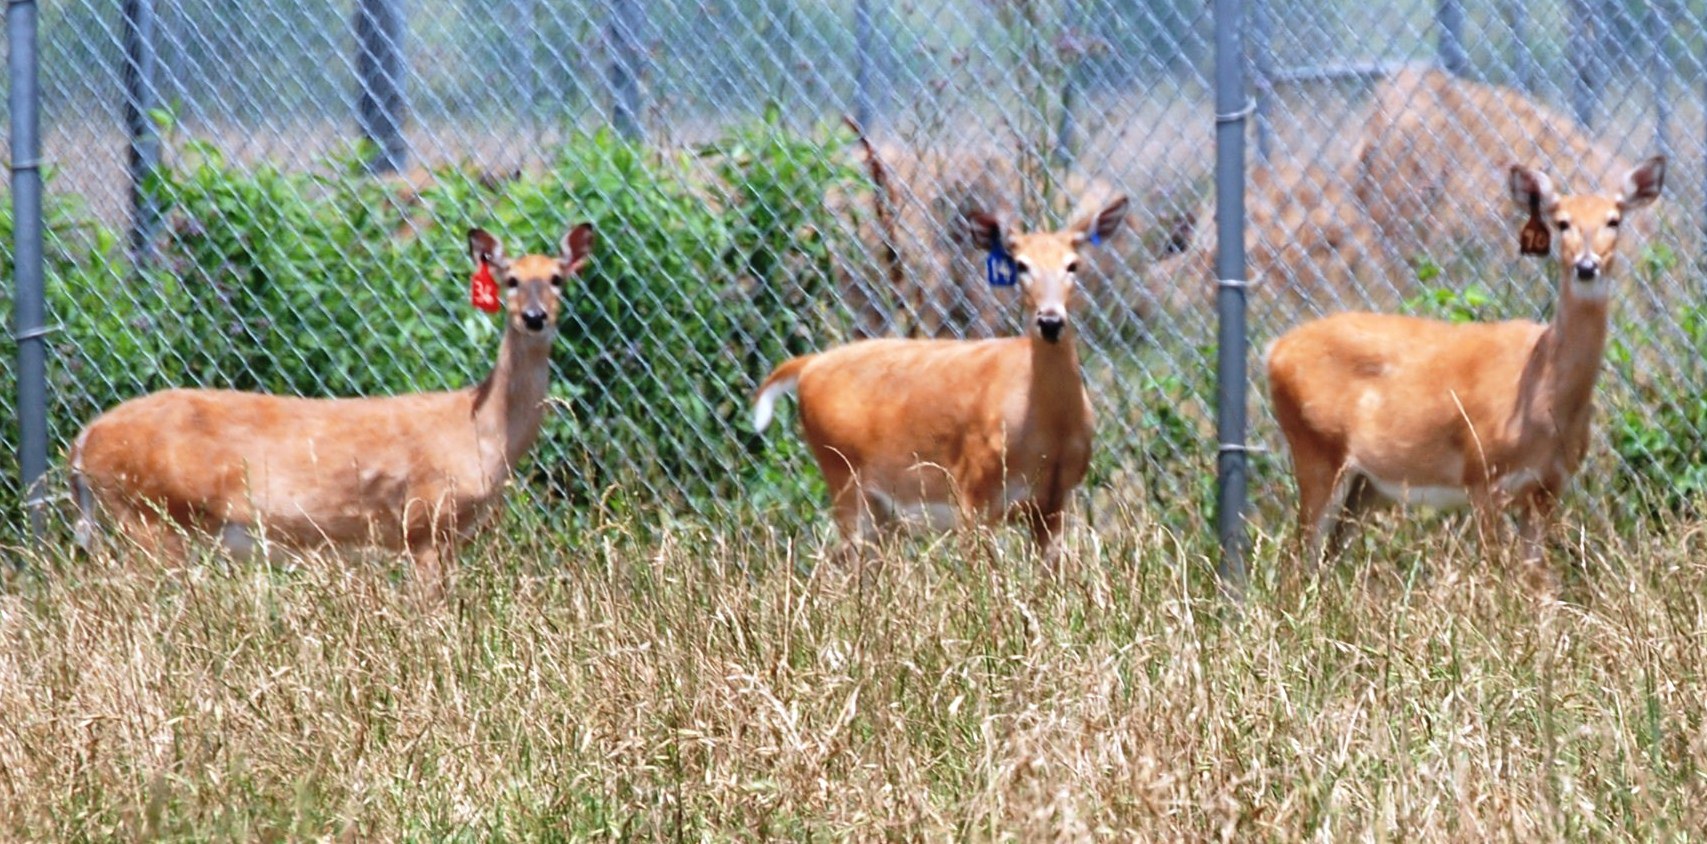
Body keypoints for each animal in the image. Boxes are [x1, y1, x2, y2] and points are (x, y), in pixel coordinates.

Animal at [69, 222, 595, 594]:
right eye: (510, 279)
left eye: (557, 278)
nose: (534, 317)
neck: (478, 428)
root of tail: (82, 441)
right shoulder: (423, 522)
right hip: (150, 516)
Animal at [751, 196, 1128, 565]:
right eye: (1021, 265)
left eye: (1073, 265)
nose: (1050, 321)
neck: (1050, 429)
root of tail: (809, 364)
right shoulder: (973, 488)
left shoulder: (1055, 503)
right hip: (841, 475)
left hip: (879, 508)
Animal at [1265, 155, 1665, 574]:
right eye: (1562, 222)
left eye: (1613, 220)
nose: (1586, 266)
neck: (1544, 394)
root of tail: (1274, 349)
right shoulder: (1482, 475)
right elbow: (1494, 571)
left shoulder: (1550, 486)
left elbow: (1537, 579)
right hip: (1316, 448)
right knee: (1296, 560)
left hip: (1366, 484)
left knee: (1324, 560)